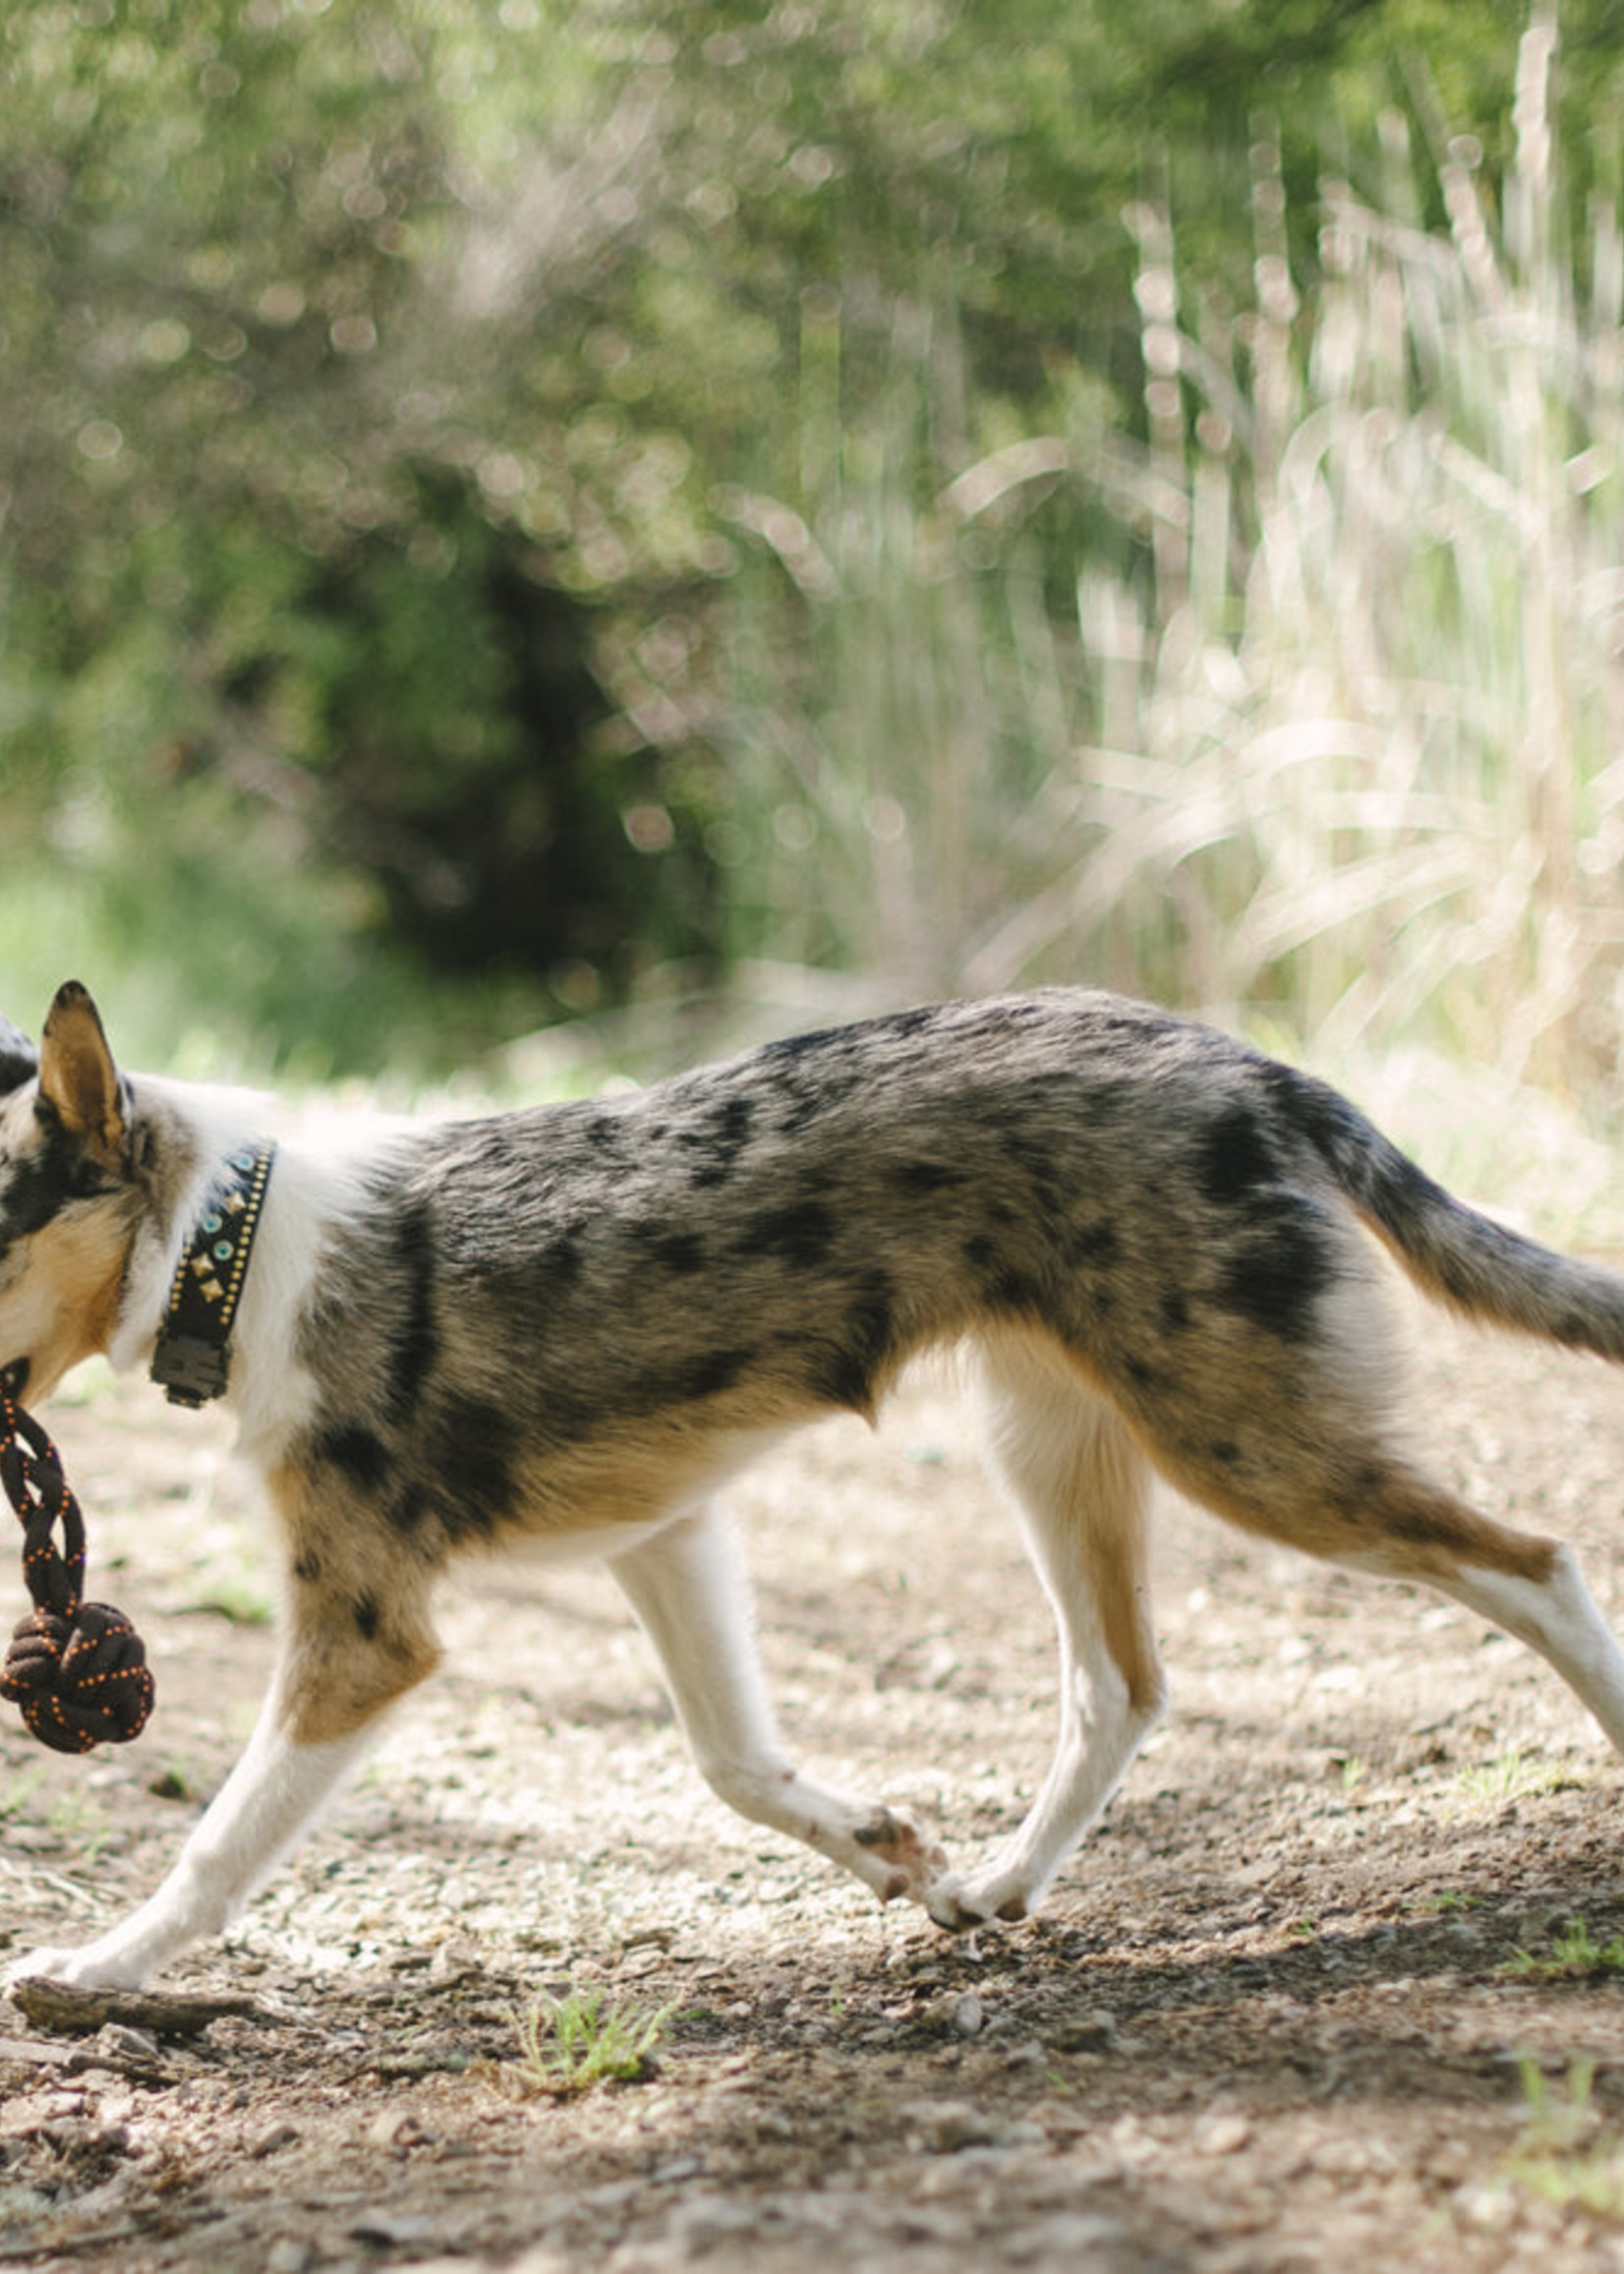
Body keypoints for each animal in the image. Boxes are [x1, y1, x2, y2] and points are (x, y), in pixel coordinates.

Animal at [0, 977, 1619, 1992]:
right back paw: (1000, 1885)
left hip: (1251, 1448)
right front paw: (885, 1852)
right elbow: (735, 1762)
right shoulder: (663, 1533)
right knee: (1119, 1684)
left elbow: (214, 1848)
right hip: (1054, 1449)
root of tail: (1239, 1062)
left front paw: (98, 1971)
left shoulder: (364, 1638)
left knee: (1536, 1561)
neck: (231, 1237)